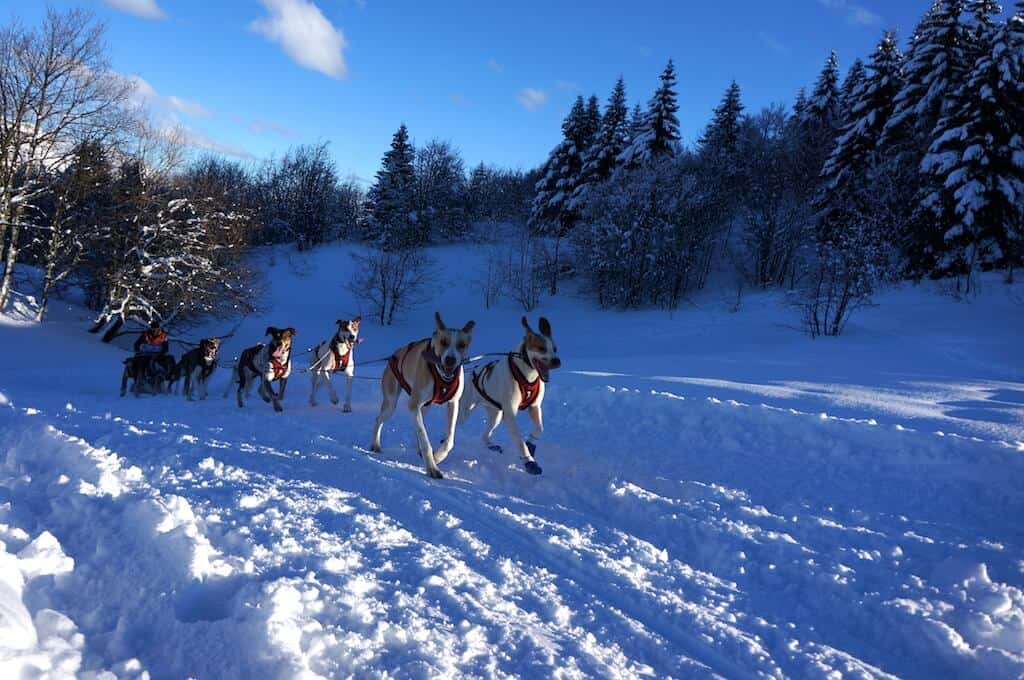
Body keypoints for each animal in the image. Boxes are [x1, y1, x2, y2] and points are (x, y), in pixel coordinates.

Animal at [372, 311, 475, 477]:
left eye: (461, 345)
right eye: (443, 342)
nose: (450, 359)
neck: (441, 376)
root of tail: (394, 354)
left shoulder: (453, 404)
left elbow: (449, 440)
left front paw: (438, 457)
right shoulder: (413, 405)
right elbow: (425, 439)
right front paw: (432, 467)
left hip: (424, 407)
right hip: (391, 403)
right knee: (379, 419)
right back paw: (375, 444)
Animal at [462, 315, 561, 475]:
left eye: (555, 349)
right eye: (541, 348)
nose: (557, 361)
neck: (527, 375)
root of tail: (474, 371)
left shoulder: (534, 407)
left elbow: (539, 428)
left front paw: (531, 444)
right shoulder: (510, 415)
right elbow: (519, 441)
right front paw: (529, 461)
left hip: (496, 415)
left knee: (485, 436)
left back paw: (491, 446)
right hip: (466, 411)